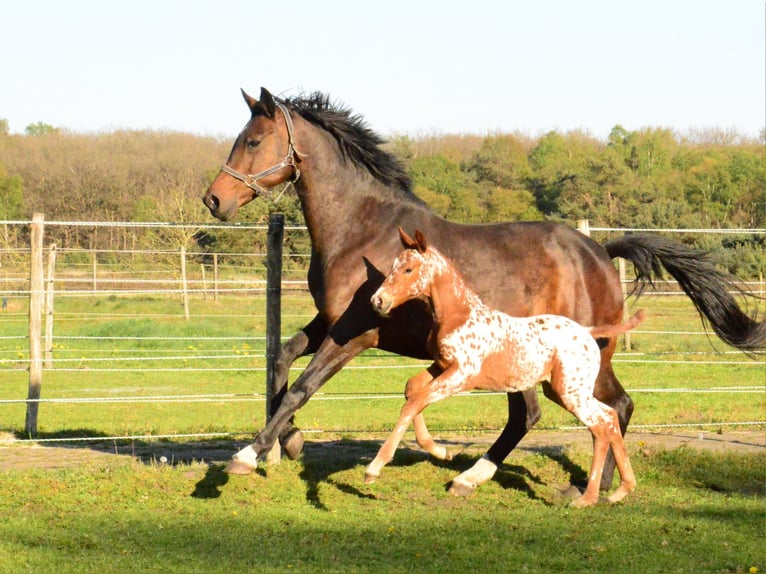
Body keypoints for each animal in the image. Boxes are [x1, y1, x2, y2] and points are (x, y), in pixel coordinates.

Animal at [367, 228, 643, 506]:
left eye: (409, 269)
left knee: (601, 423)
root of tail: (588, 331)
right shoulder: (441, 365)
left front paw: (374, 468)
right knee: (609, 418)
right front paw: (440, 451)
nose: (378, 300)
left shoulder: (462, 374)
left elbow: (416, 400)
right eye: (393, 266)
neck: (460, 315)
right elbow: (412, 389)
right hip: (562, 391)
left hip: (571, 392)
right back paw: (621, 490)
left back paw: (588, 498)